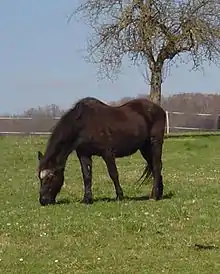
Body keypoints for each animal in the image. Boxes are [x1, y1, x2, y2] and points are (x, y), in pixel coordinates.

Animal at [37, 96, 166, 206]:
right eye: (40, 178)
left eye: (50, 177)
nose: (43, 201)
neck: (84, 123)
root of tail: (159, 109)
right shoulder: (84, 154)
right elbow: (87, 176)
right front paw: (87, 199)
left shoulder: (107, 153)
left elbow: (113, 174)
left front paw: (119, 196)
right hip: (144, 147)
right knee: (154, 167)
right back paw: (159, 194)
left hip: (155, 143)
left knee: (156, 166)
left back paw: (154, 196)